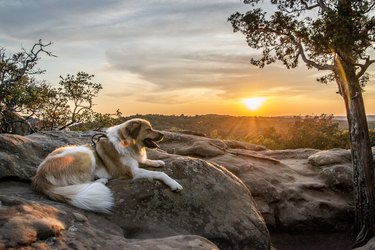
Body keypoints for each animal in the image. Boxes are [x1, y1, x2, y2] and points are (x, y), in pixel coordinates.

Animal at [33, 118, 183, 213]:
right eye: (148, 129)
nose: (163, 134)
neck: (127, 143)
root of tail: (40, 177)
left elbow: (145, 161)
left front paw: (157, 162)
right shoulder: (133, 172)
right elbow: (160, 173)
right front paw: (174, 184)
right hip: (85, 153)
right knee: (85, 182)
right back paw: (102, 180)